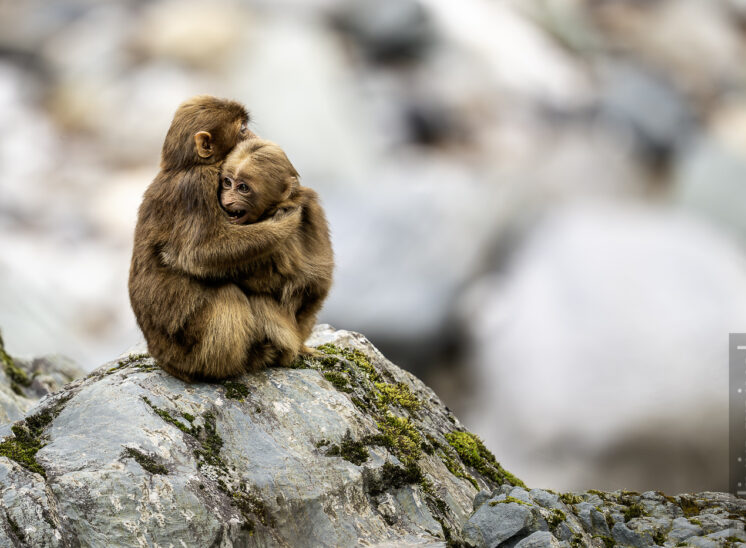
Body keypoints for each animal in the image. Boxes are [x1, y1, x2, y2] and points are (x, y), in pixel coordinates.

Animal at [129, 95, 305, 382]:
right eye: (242, 129)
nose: (255, 137)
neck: (189, 166)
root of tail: (165, 363)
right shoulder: (197, 187)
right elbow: (200, 253)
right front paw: (285, 223)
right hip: (187, 350)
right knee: (226, 294)